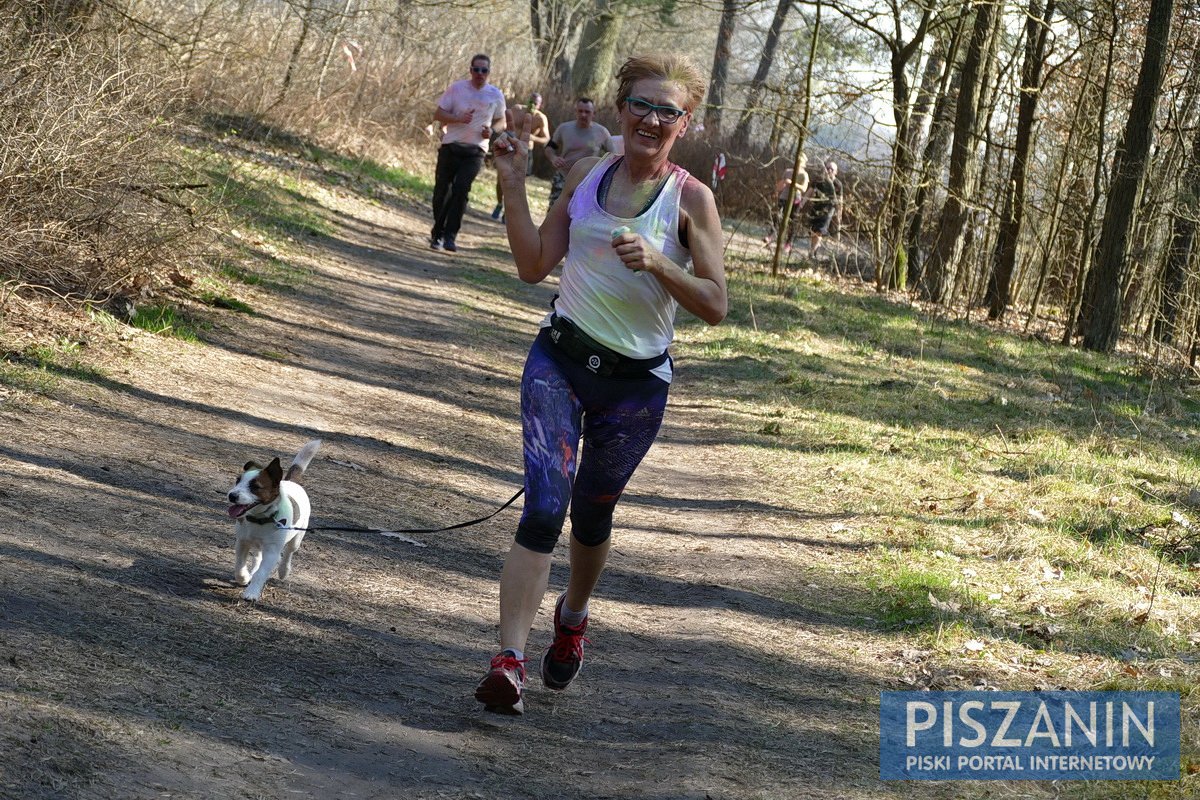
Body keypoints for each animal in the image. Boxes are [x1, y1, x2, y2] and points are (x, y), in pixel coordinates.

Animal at [224, 438, 321, 599]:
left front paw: (252, 592)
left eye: (255, 486)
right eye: (237, 481)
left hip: (297, 538)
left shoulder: (272, 551)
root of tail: (291, 482)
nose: (232, 495)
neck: (259, 519)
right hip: (257, 544)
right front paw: (244, 577)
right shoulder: (242, 542)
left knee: (288, 553)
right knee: (257, 557)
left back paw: (283, 571)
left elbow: (262, 572)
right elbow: (239, 565)